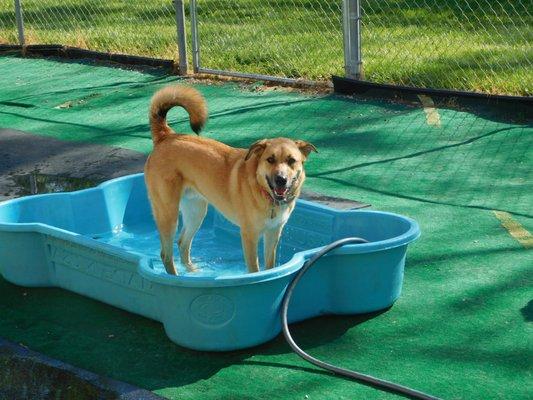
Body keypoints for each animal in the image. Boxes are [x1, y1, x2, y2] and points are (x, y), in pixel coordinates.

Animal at [143, 85, 314, 274]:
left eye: (291, 161)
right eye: (270, 159)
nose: (281, 179)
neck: (264, 192)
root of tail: (166, 136)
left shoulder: (273, 233)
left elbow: (270, 265)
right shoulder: (249, 236)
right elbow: (254, 270)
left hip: (196, 212)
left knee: (182, 243)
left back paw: (194, 272)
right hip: (168, 214)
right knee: (166, 254)